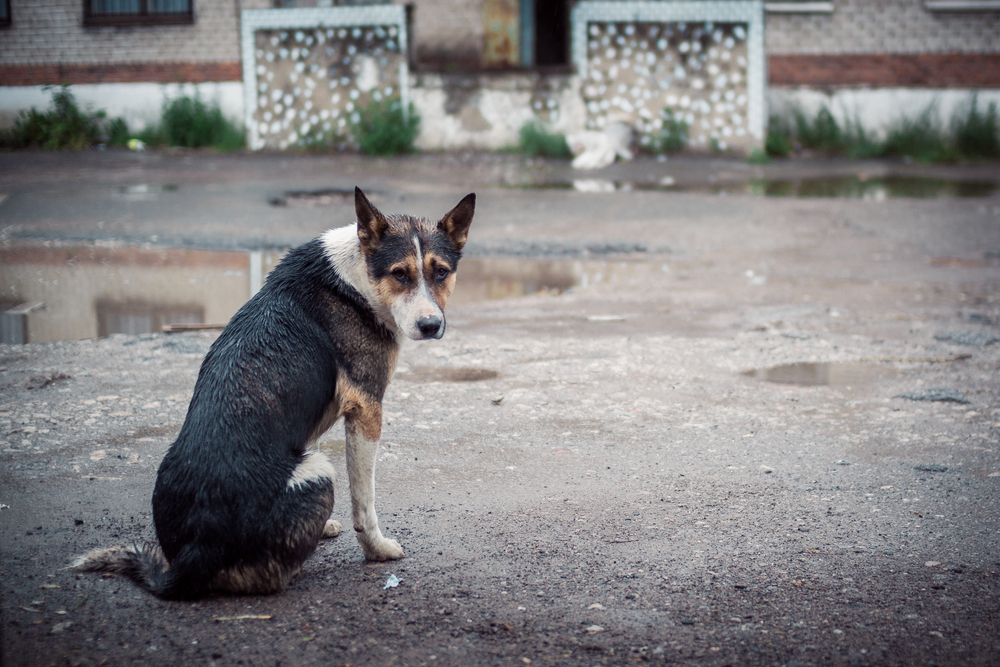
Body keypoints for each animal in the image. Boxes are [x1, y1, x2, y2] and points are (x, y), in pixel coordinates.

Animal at [71, 188, 476, 600]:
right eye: (399, 274)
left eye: (441, 272)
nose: (431, 326)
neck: (356, 279)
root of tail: (195, 553)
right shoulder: (366, 409)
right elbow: (364, 501)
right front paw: (377, 550)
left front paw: (324, 528)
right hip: (319, 471)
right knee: (272, 579)